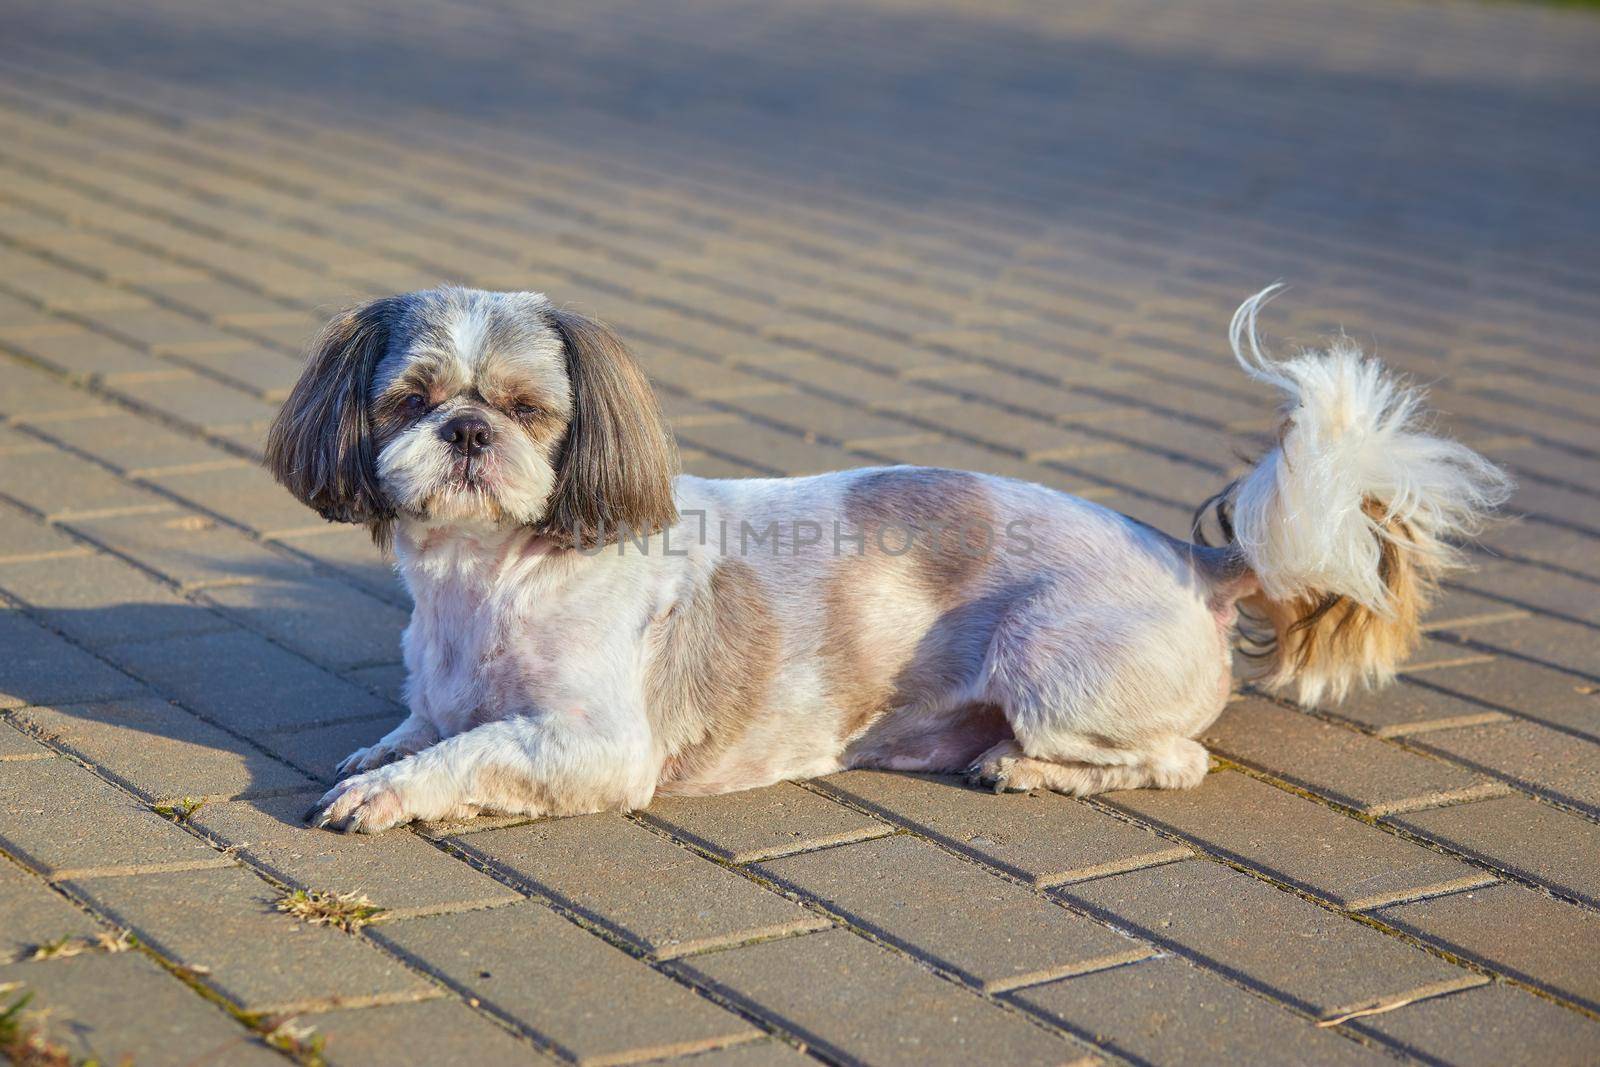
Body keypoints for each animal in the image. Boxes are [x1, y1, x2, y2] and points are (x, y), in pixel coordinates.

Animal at [268, 286, 1504, 831]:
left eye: (527, 410)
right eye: (410, 400)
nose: (468, 431)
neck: (489, 578)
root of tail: (1194, 565)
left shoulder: (594, 746)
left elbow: (469, 754)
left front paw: (385, 793)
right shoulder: (450, 689)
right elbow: (429, 725)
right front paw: (377, 753)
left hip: (1054, 668)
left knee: (1174, 759)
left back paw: (1023, 769)